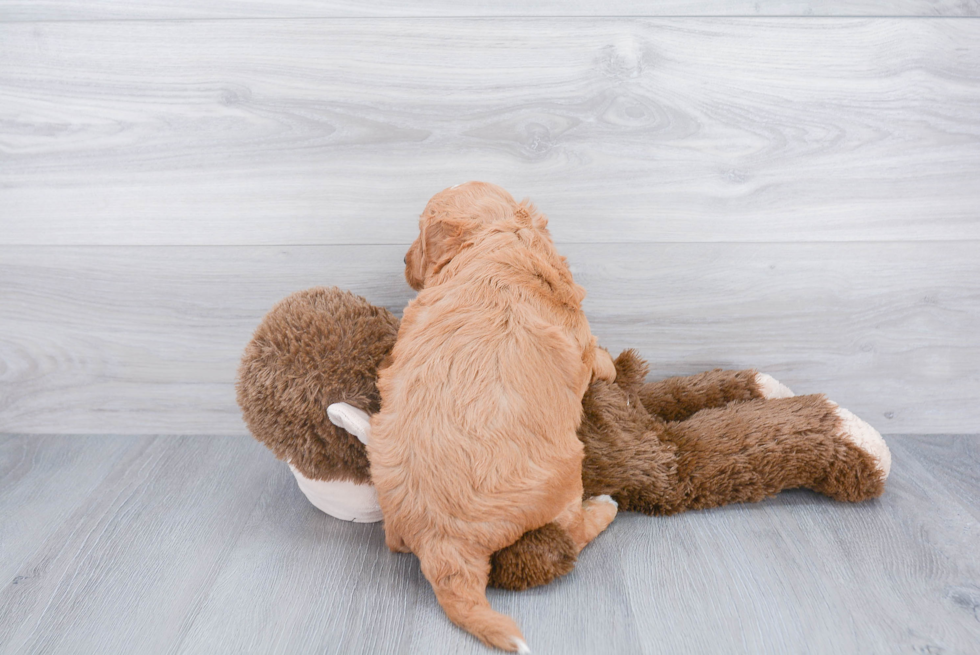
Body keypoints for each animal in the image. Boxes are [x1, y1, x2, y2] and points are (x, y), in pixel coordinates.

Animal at [372, 182, 616, 652]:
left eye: (419, 238)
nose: (402, 262)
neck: (498, 239)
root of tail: (442, 544)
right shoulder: (581, 338)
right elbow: (597, 353)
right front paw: (611, 365)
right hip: (566, 474)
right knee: (572, 532)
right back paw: (605, 507)